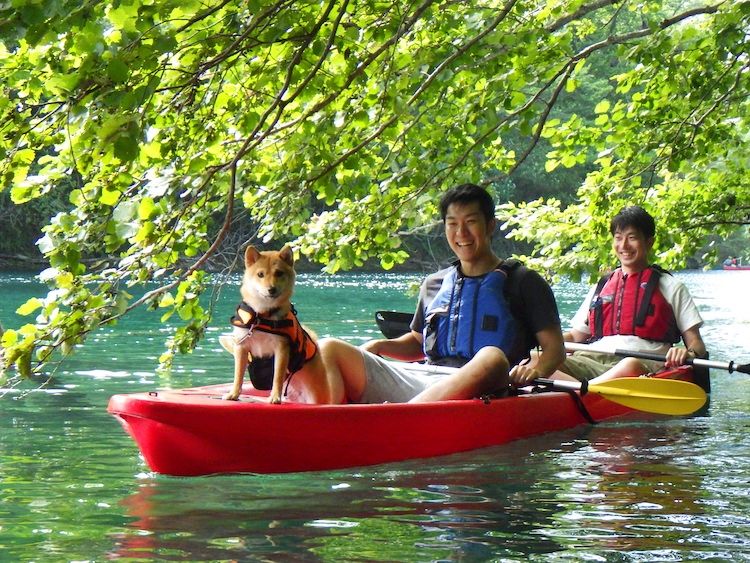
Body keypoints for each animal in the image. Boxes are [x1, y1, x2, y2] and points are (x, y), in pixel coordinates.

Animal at [219, 245, 340, 404]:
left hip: (316, 390)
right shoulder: (241, 347)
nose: (271, 289)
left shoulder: (281, 349)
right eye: (260, 274)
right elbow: (238, 375)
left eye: (279, 273)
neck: (262, 316)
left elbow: (277, 377)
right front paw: (233, 394)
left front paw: (275, 397)